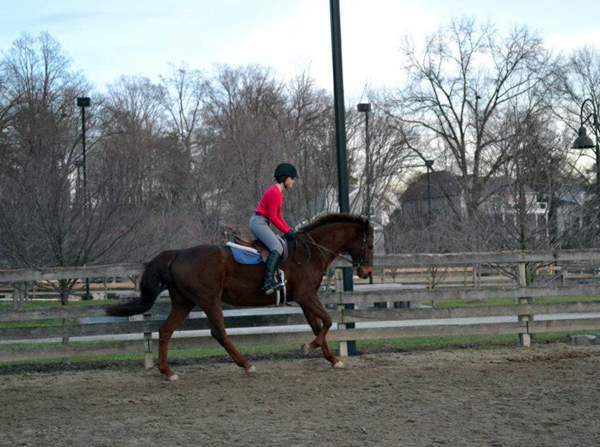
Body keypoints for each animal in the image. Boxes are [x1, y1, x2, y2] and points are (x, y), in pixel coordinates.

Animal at [105, 214, 372, 382]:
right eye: (369, 245)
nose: (366, 271)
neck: (310, 251)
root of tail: (178, 254)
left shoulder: (305, 299)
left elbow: (319, 326)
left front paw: (332, 359)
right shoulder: (307, 296)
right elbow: (327, 321)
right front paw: (309, 347)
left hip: (184, 302)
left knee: (165, 330)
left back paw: (168, 372)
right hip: (209, 300)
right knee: (218, 332)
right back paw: (246, 365)